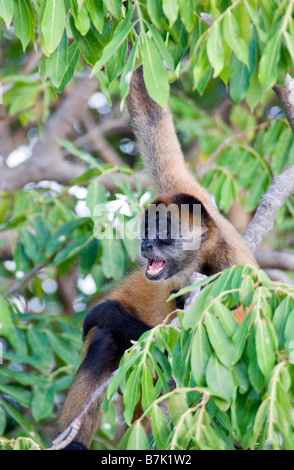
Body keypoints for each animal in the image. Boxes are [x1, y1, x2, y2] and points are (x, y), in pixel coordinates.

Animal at [58, 66, 258, 448]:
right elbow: (152, 117)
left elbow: (215, 368)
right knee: (106, 343)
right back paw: (73, 441)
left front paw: (107, 311)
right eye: (147, 231)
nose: (145, 246)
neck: (204, 254)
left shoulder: (231, 273)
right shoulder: (184, 190)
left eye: (163, 236)